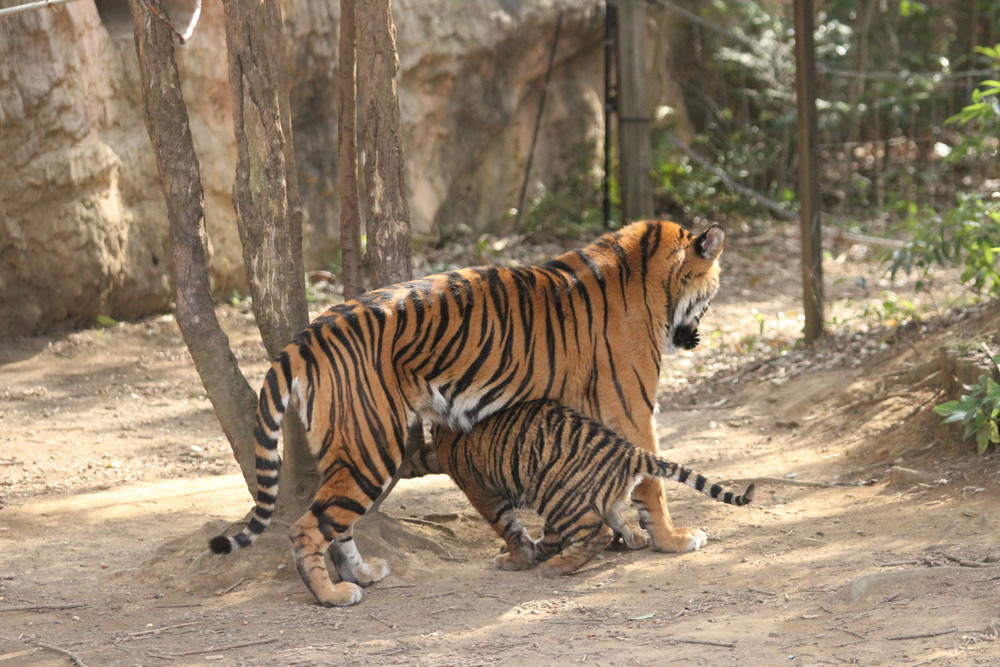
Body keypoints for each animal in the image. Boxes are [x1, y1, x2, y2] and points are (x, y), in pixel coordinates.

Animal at [211, 218, 728, 604]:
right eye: (713, 292)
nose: (700, 337)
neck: (651, 275)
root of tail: (309, 334)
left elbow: (615, 474)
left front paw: (633, 535)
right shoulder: (630, 405)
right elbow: (650, 478)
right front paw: (671, 540)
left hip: (348, 448)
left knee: (336, 521)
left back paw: (363, 574)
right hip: (371, 446)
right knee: (307, 527)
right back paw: (333, 595)